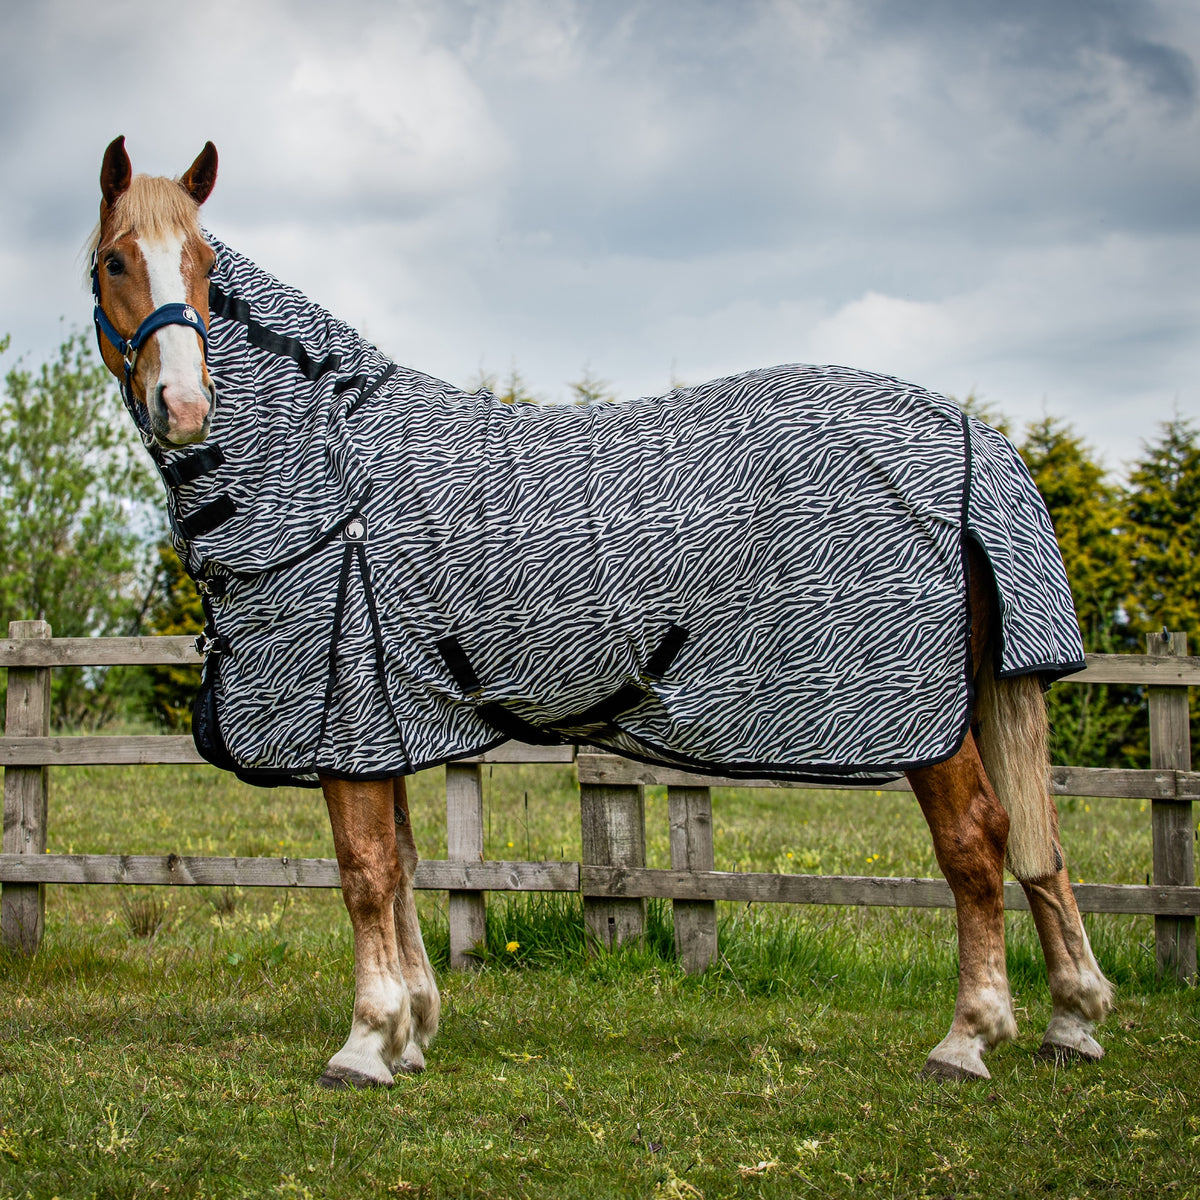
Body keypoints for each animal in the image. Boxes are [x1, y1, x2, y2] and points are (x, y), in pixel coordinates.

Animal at [89, 135, 1113, 1087]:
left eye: (206, 267)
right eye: (116, 261)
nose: (184, 404)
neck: (329, 464)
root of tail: (971, 434)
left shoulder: (344, 719)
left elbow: (365, 872)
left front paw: (366, 1041)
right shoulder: (382, 721)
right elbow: (406, 866)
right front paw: (413, 1030)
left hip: (926, 722)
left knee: (978, 841)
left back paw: (970, 1037)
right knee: (1041, 842)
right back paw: (1072, 1020)